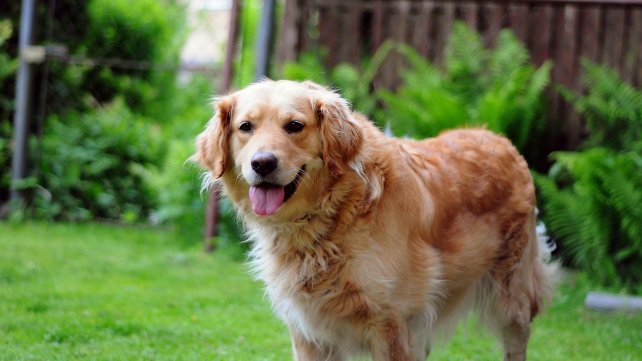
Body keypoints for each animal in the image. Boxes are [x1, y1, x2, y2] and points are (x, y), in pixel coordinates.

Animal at [191, 79, 556, 360]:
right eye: (245, 128)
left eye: (294, 126)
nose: (262, 163)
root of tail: (499, 138)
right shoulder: (309, 332)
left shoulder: (391, 326)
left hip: (512, 296)